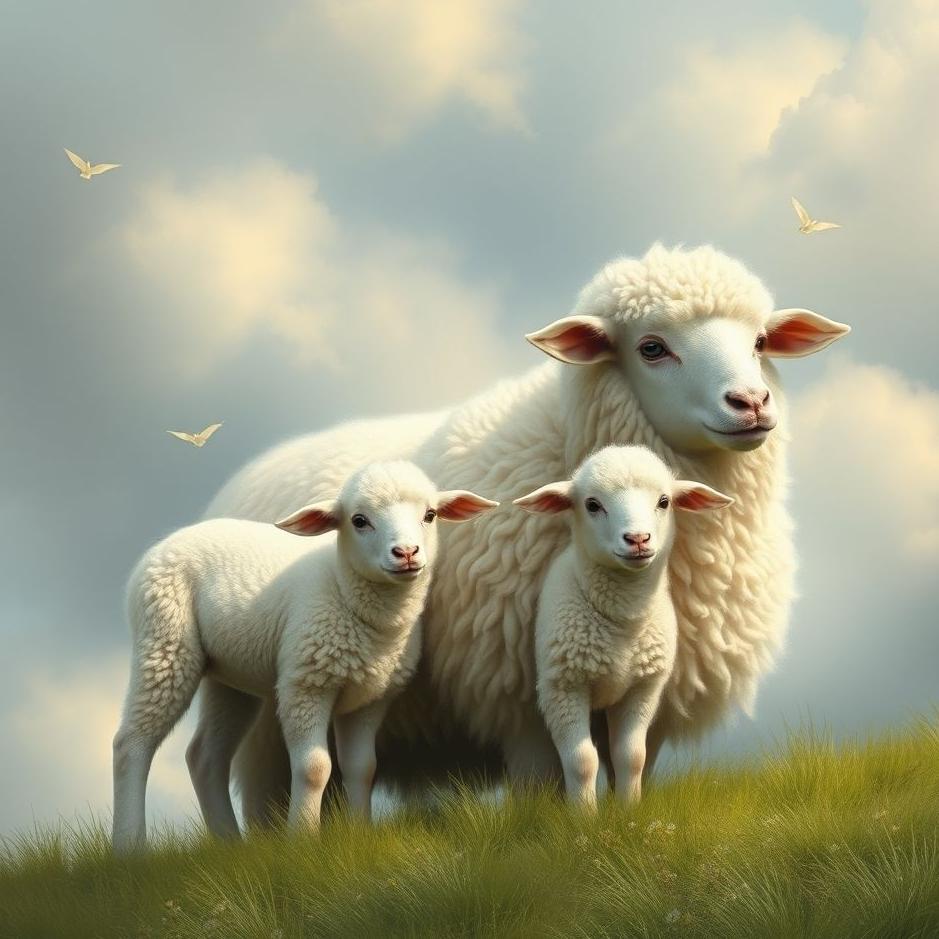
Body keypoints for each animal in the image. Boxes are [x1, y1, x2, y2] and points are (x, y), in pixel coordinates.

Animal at [111, 461, 497, 852]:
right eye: (359, 520)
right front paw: (303, 840)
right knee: (132, 742)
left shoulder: (371, 698)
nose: (406, 553)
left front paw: (359, 833)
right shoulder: (305, 684)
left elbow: (362, 767)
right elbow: (315, 768)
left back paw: (230, 843)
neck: (350, 599)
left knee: (205, 755)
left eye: (430, 515)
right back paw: (130, 847)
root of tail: (168, 541)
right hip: (164, 642)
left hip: (229, 675)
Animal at [515, 445, 733, 806]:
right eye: (592, 504)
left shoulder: (642, 689)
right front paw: (583, 815)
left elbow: (631, 757)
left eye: (664, 501)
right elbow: (582, 761)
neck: (622, 622)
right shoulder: (563, 687)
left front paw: (628, 809)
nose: (638, 539)